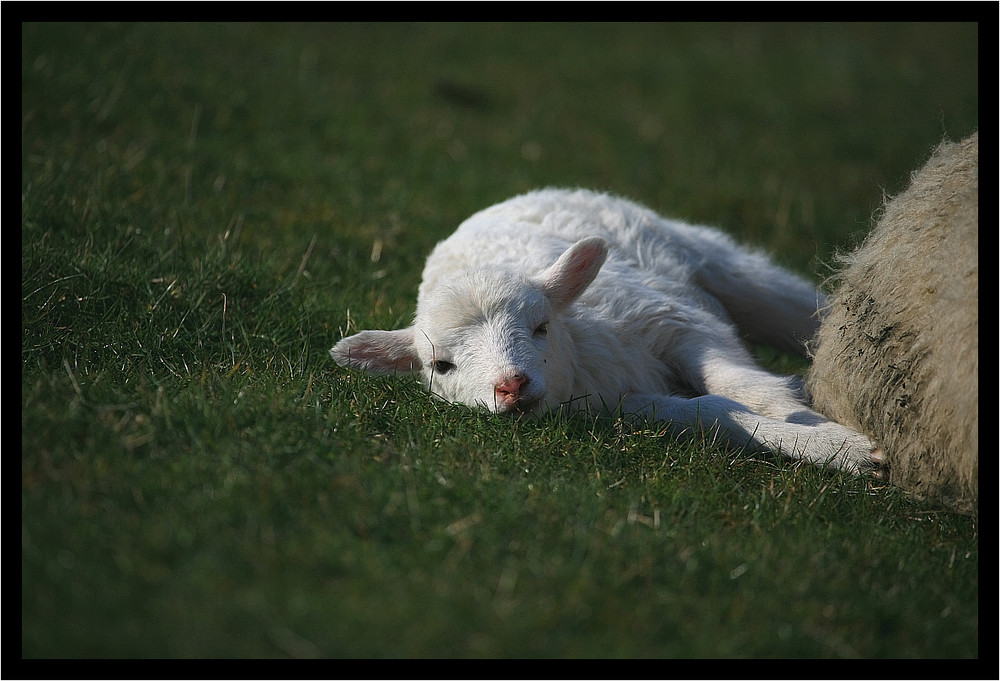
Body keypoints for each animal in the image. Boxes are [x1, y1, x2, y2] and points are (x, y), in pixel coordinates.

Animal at [332, 186, 880, 472]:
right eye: (441, 366)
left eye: (541, 326)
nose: (511, 386)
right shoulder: (617, 402)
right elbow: (711, 411)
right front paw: (828, 446)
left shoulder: (674, 322)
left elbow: (740, 383)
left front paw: (826, 433)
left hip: (714, 262)